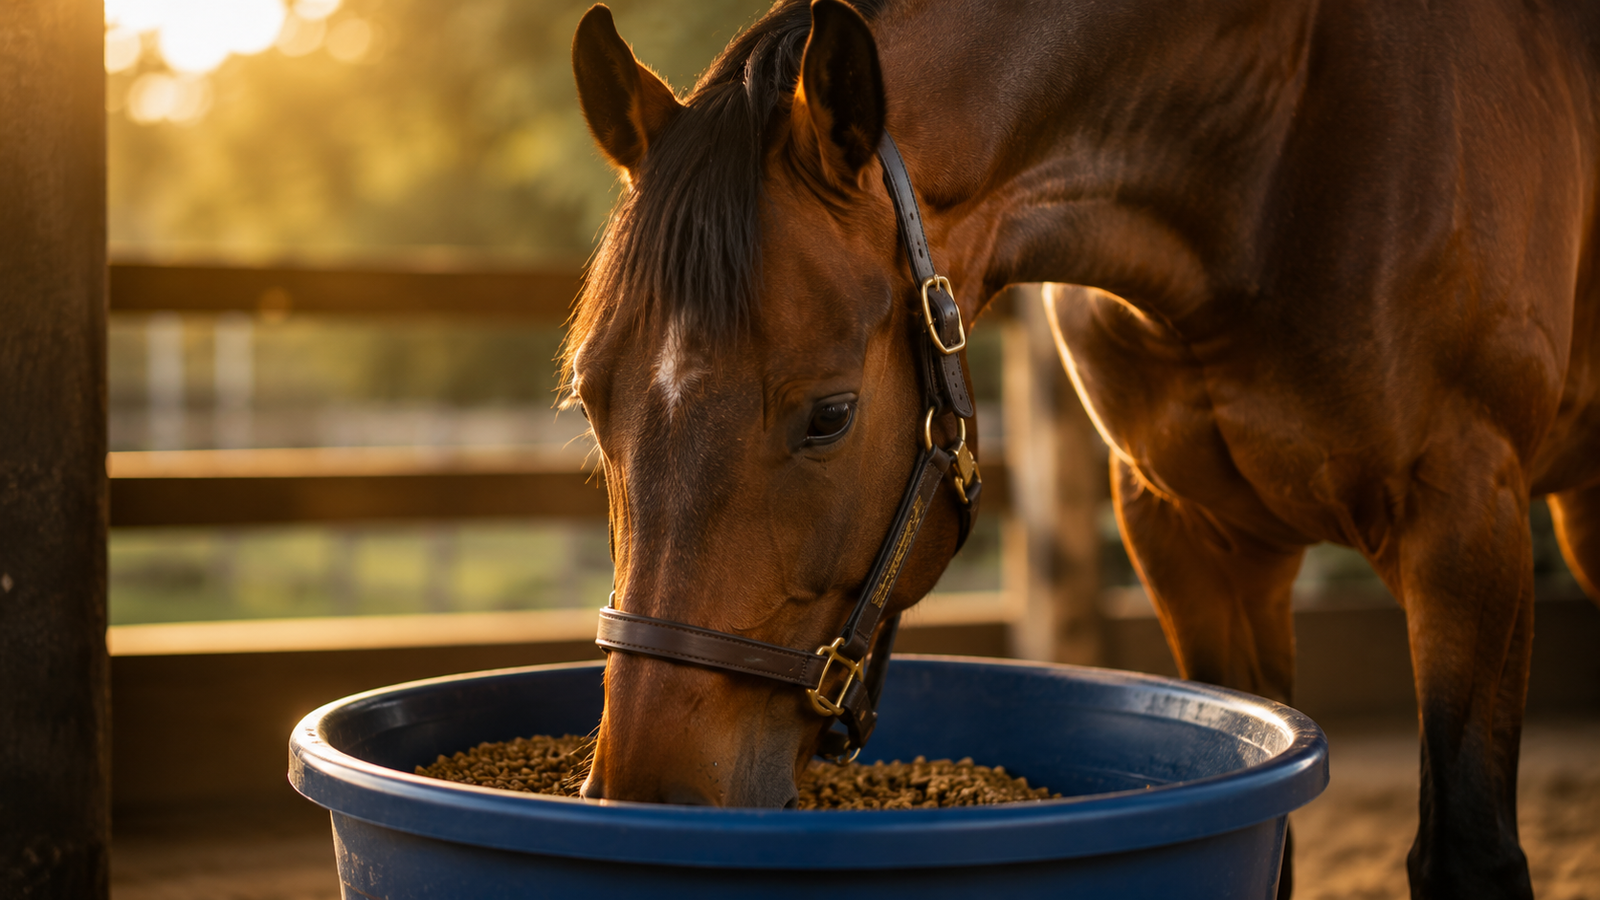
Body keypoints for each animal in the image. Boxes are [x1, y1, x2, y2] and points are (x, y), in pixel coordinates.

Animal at [563, 1, 1600, 897]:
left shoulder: (1464, 520)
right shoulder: (1188, 537)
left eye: (830, 415)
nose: (648, 796)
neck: (1268, 148)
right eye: (590, 398)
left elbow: (1469, 851)